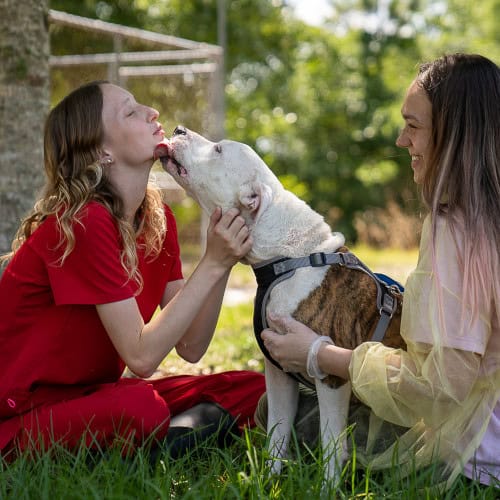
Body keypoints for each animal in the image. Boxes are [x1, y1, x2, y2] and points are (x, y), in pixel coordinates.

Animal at [154, 126, 404, 484]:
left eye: (218, 150)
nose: (178, 129)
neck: (289, 259)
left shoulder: (331, 378)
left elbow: (331, 442)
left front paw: (327, 487)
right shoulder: (279, 371)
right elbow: (277, 431)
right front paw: (267, 481)